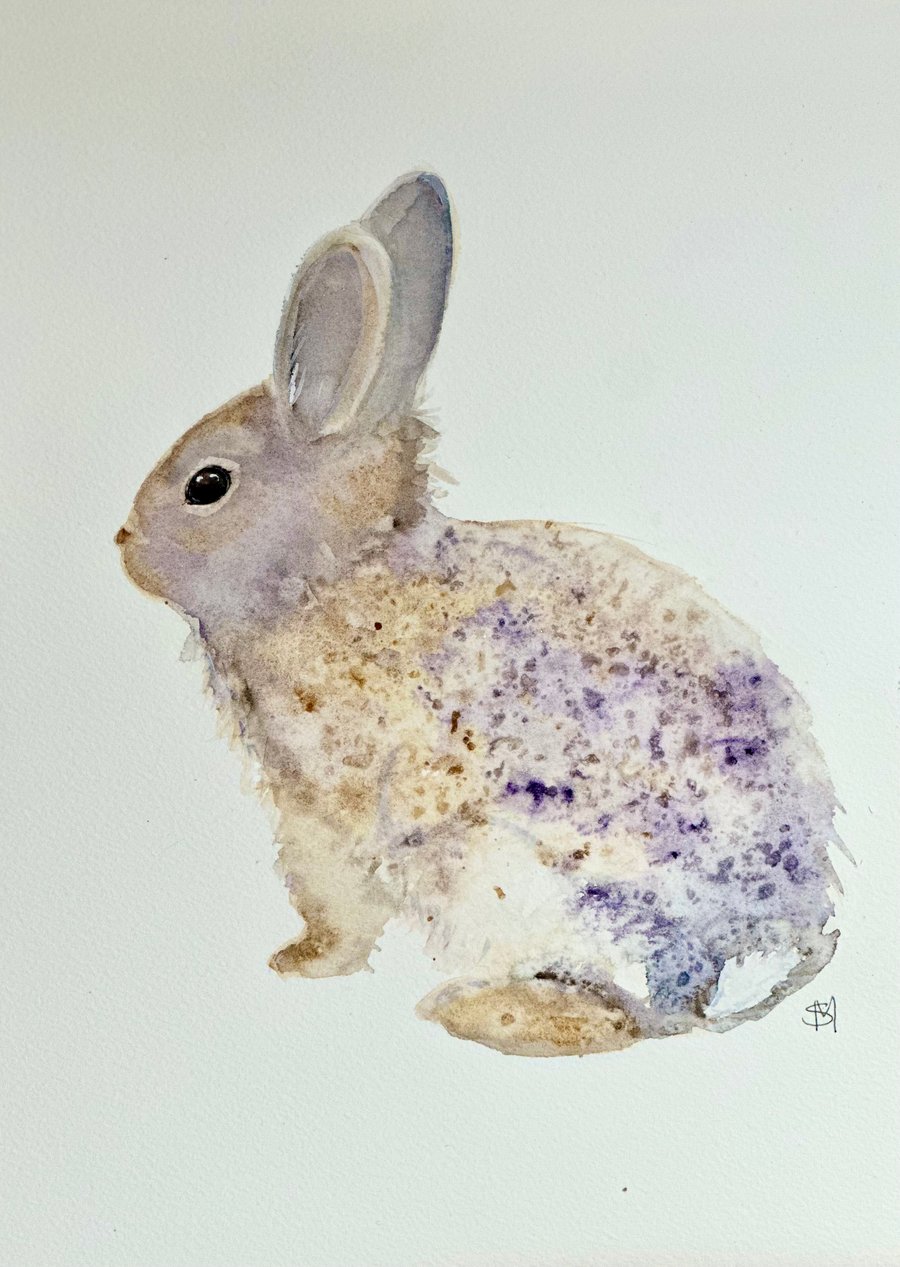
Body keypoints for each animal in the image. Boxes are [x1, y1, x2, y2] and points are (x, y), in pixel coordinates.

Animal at [117, 171, 842, 1057]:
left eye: (207, 485)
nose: (123, 546)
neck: (335, 576)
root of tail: (761, 938)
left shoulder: (341, 811)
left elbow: (351, 890)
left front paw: (304, 966)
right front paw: (298, 962)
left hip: (499, 878)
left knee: (628, 1019)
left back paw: (484, 1013)